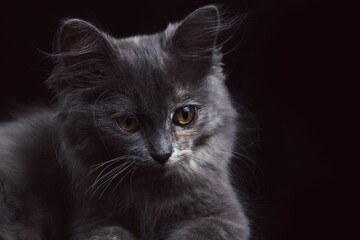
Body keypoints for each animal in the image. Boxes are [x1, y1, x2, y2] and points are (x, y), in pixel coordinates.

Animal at [0, 4, 250, 240]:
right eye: (128, 122)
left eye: (184, 115)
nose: (162, 154)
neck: (152, 197)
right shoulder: (91, 222)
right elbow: (111, 234)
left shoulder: (224, 217)